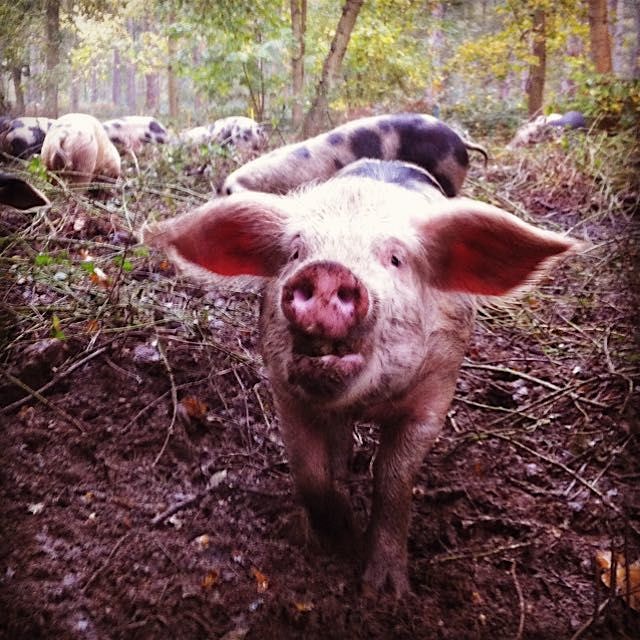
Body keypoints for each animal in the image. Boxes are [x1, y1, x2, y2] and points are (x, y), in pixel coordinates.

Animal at [144, 155, 581, 596]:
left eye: (396, 259)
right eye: (296, 252)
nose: (328, 271)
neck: (369, 400)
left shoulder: (434, 394)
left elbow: (393, 479)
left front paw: (384, 592)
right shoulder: (286, 394)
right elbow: (310, 473)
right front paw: (339, 537)